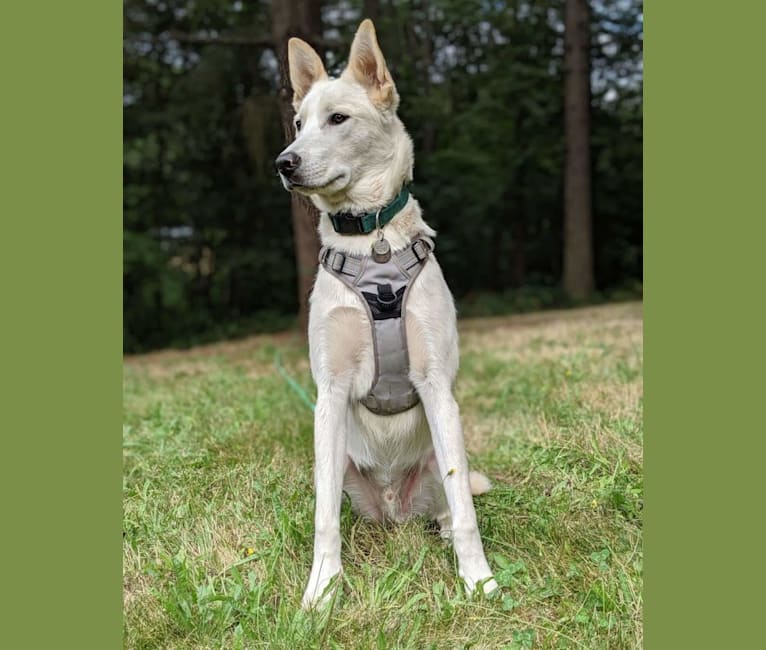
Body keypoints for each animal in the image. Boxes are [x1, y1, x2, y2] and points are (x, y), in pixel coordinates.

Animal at [276, 20, 498, 608]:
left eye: (338, 119)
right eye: (299, 124)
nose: (284, 162)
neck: (371, 242)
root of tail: (395, 511)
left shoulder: (437, 385)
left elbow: (465, 512)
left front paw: (478, 579)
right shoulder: (329, 393)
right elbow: (323, 519)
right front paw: (322, 590)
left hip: (444, 454)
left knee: (452, 499)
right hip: (337, 464)